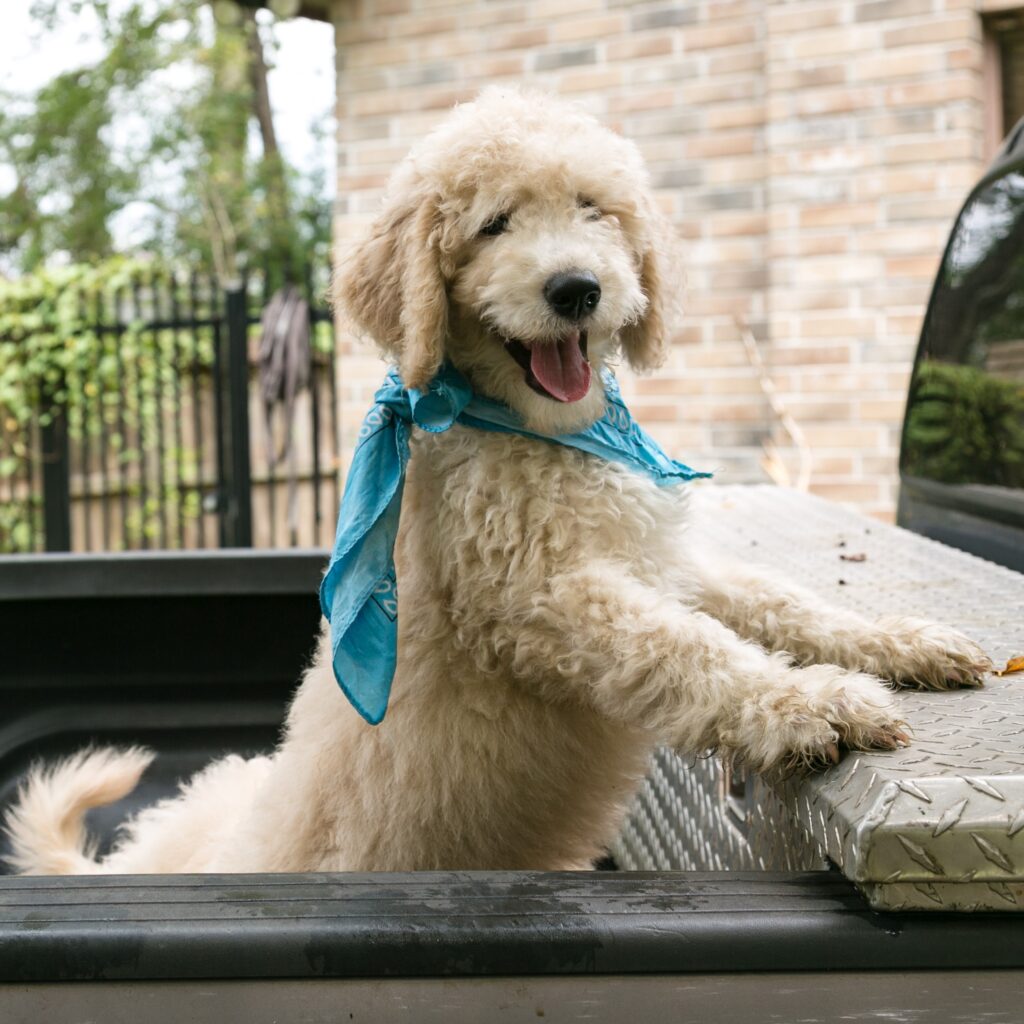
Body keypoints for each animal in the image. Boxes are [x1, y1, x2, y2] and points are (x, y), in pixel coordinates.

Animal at [4, 88, 987, 876]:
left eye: (594, 210)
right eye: (493, 225)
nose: (576, 289)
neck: (528, 429)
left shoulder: (657, 563)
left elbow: (780, 602)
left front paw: (902, 644)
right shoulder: (538, 596)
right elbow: (689, 649)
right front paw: (814, 703)